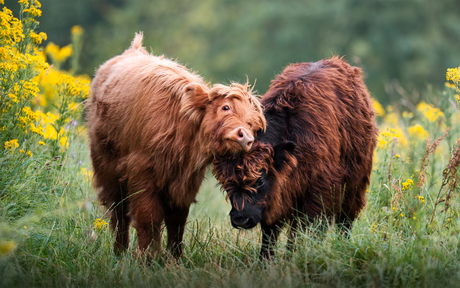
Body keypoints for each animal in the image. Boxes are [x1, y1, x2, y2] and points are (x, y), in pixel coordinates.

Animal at [87, 32, 266, 258]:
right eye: (226, 107)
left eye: (252, 124)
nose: (245, 137)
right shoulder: (141, 175)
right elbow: (148, 219)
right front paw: (147, 258)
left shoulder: (186, 183)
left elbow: (177, 222)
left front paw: (175, 259)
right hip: (108, 170)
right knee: (119, 214)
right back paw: (120, 252)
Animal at [212, 55, 378, 258]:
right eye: (226, 183)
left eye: (260, 180)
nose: (240, 219)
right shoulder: (276, 202)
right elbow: (270, 234)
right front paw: (265, 260)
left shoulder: (319, 195)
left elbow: (313, 230)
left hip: (355, 188)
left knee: (344, 223)